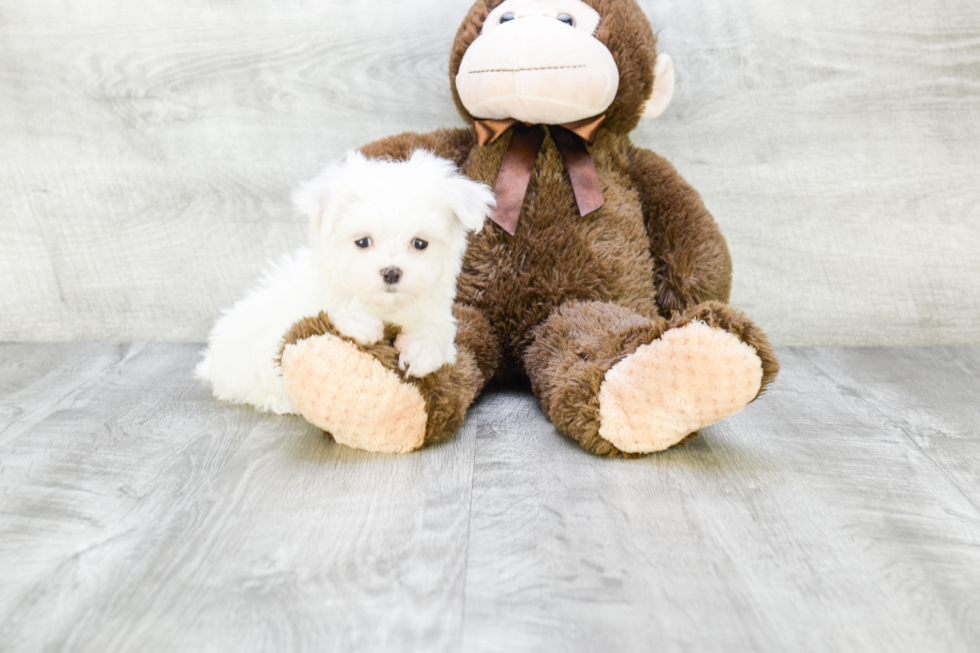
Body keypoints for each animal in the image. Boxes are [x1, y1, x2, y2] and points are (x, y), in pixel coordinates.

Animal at [194, 149, 494, 412]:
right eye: (363, 242)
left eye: (420, 243)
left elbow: (434, 336)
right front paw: (362, 323)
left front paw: (421, 353)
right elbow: (338, 310)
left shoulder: (436, 316)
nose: (392, 272)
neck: (387, 308)